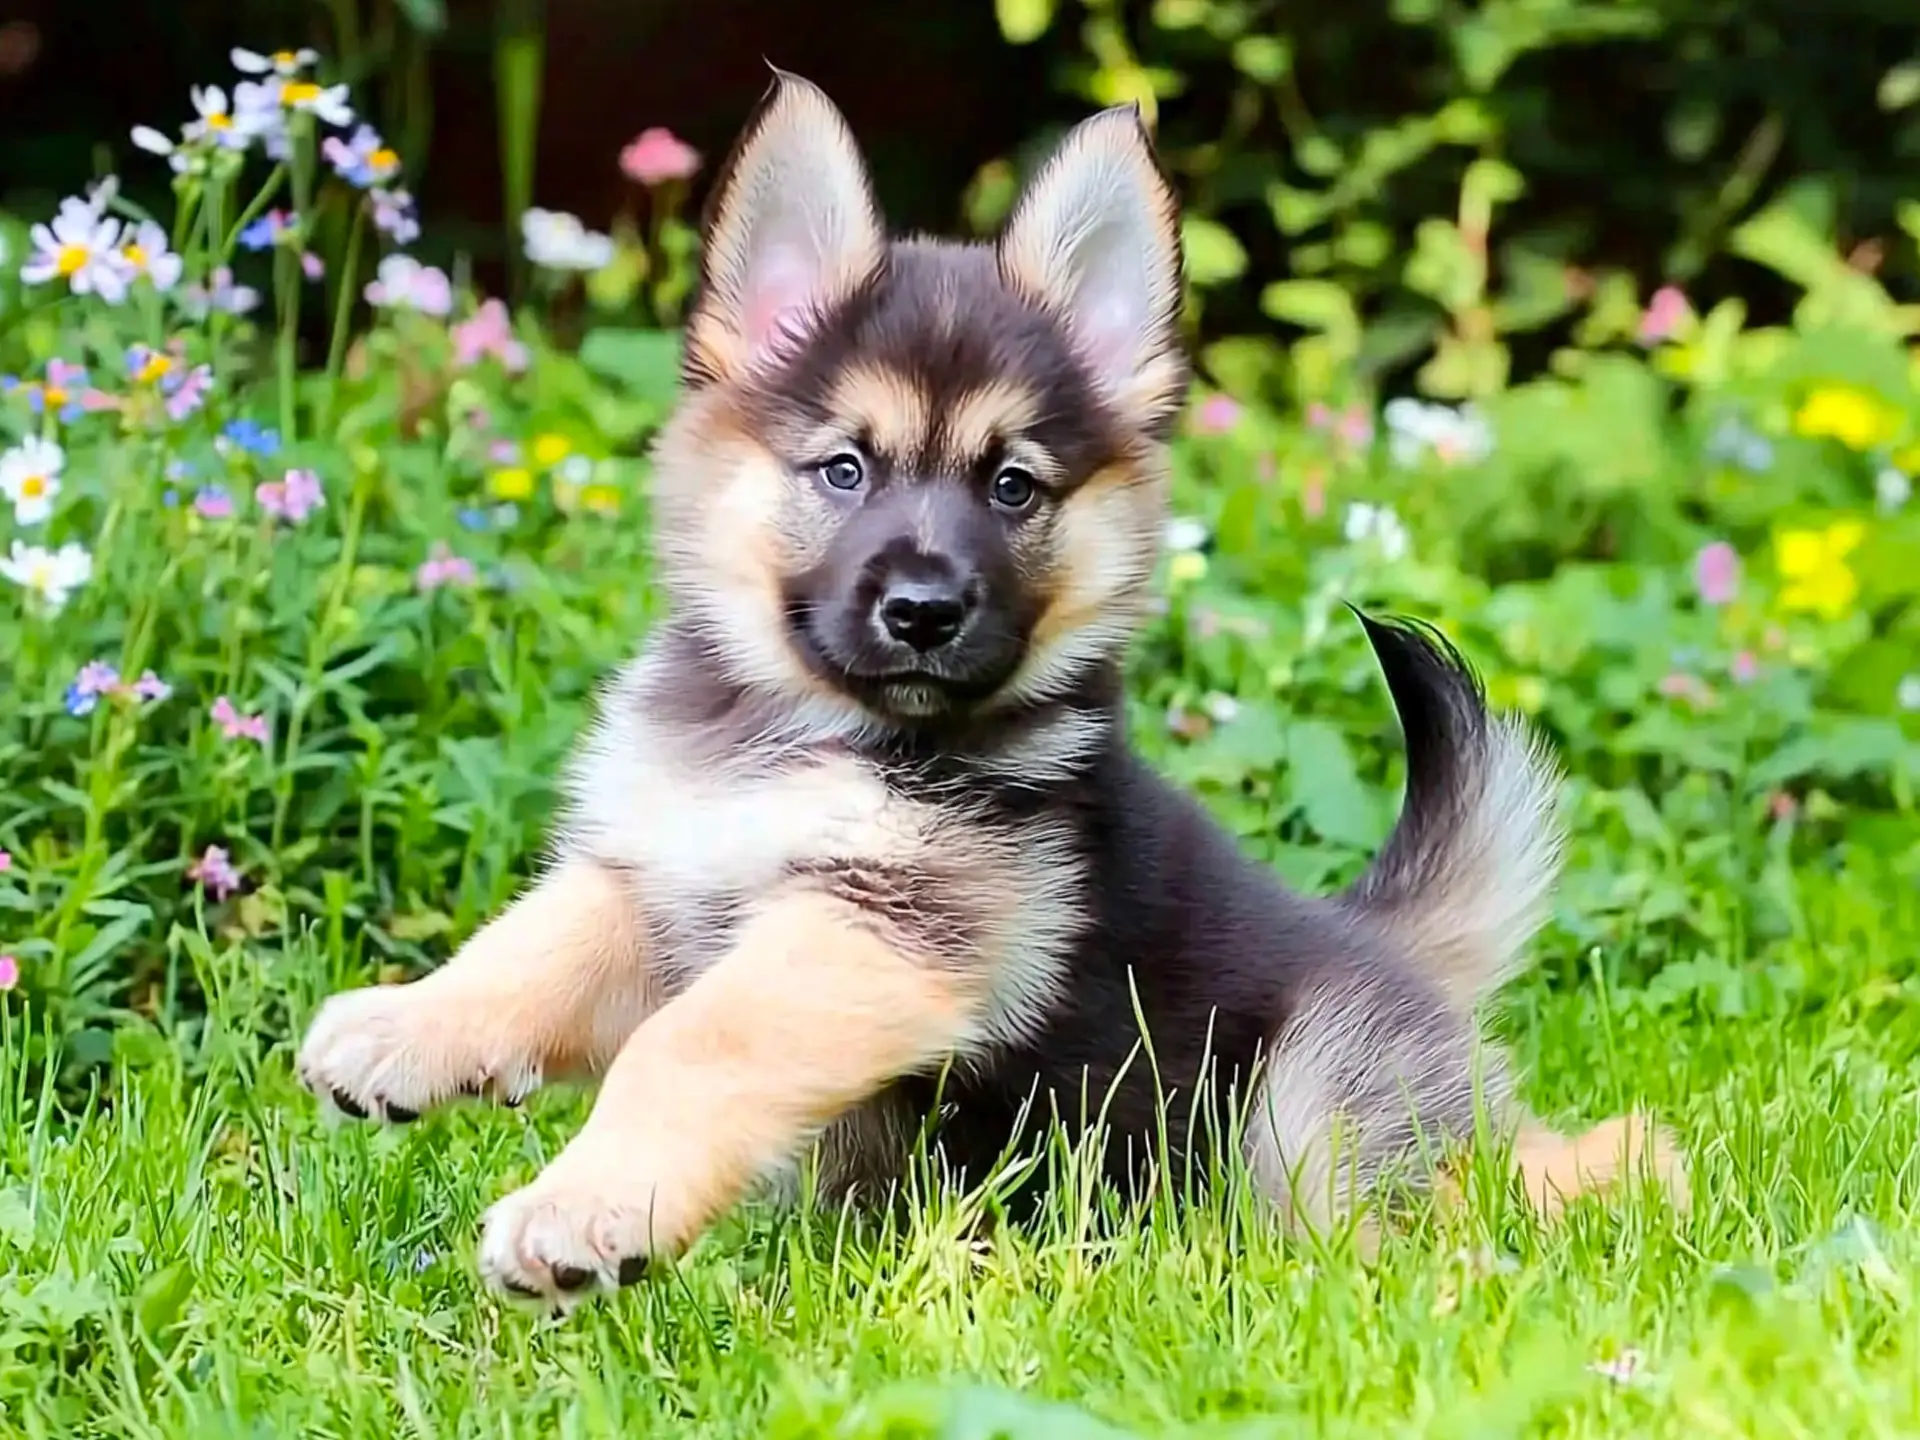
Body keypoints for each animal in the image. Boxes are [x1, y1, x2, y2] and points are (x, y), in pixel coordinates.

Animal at [291, 70, 1689, 1305]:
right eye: (845, 469)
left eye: (1012, 485)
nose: (924, 610)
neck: (807, 736)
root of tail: (1386, 952)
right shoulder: (666, 877)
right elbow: (530, 945)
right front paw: (406, 1027)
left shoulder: (882, 925)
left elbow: (688, 1050)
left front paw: (583, 1210)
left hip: (1304, 1110)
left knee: (1477, 1185)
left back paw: (1623, 1187)